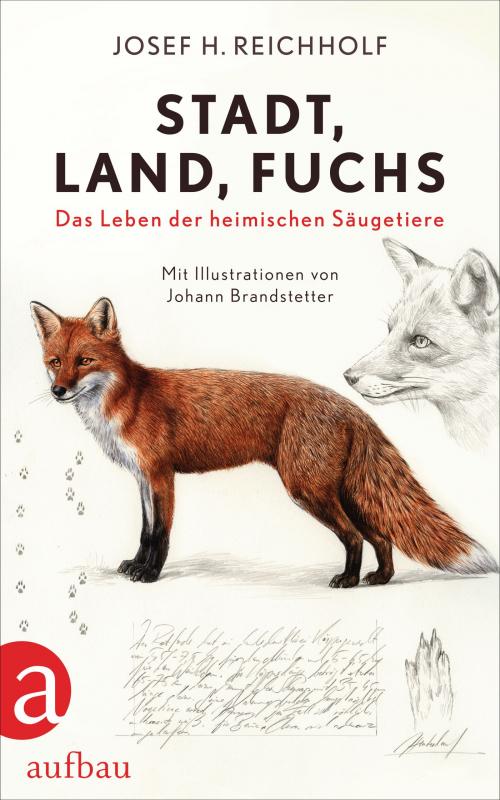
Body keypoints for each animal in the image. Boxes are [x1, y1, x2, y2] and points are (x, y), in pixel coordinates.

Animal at [30, 297, 498, 587]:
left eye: (84, 361)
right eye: (54, 362)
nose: (58, 391)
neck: (127, 399)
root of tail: (349, 404)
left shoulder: (161, 475)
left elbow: (161, 534)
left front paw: (150, 575)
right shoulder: (143, 479)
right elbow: (146, 532)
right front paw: (135, 565)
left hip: (308, 489)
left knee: (355, 536)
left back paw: (348, 580)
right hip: (341, 491)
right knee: (380, 536)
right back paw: (379, 579)